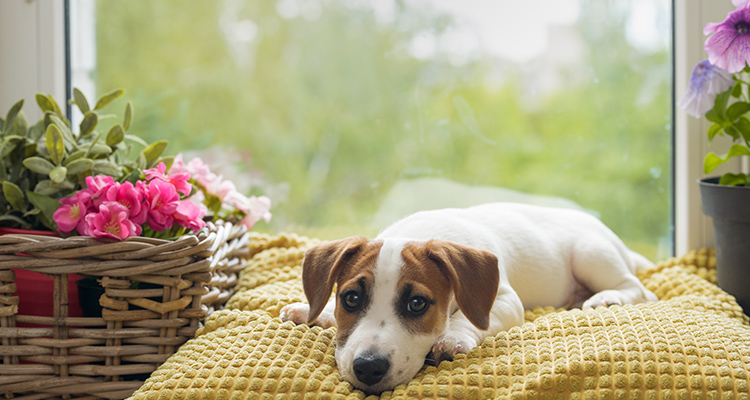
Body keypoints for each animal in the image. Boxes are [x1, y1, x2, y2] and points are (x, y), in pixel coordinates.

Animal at [280, 205, 656, 392]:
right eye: (351, 298)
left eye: (417, 304)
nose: (368, 367)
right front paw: (313, 310)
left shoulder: (505, 300)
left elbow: (466, 318)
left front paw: (451, 337)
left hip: (591, 254)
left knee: (639, 287)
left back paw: (605, 297)